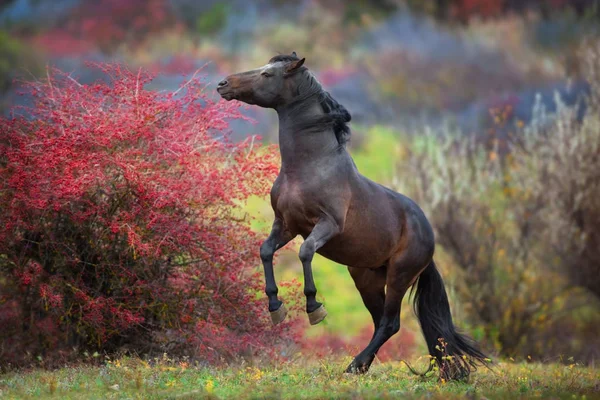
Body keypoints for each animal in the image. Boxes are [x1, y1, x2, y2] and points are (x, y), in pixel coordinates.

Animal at [216, 50, 488, 378]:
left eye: (268, 74)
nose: (222, 84)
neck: (308, 167)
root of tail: (428, 235)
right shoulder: (286, 225)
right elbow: (266, 250)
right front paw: (275, 307)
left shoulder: (326, 225)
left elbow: (306, 252)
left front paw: (314, 308)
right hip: (366, 278)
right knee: (380, 322)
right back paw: (359, 366)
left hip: (399, 275)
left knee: (390, 323)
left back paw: (355, 364)